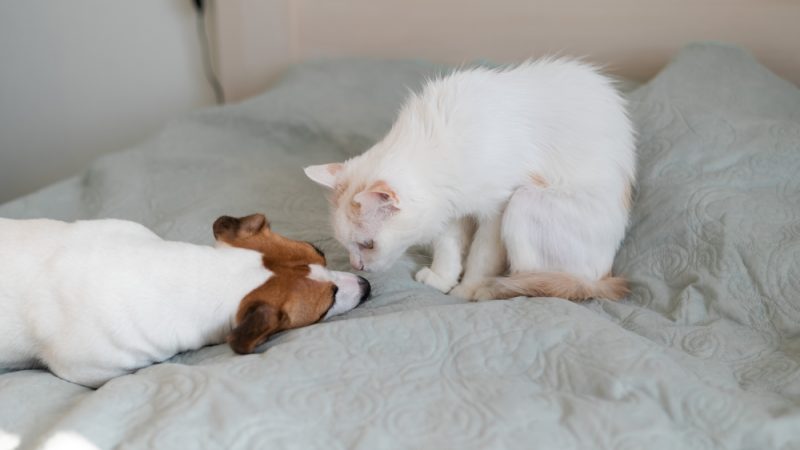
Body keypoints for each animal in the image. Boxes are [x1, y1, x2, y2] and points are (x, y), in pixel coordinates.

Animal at [304, 58, 636, 300]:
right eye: (347, 246)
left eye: (368, 244)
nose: (357, 267)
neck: (437, 144)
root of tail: (602, 276)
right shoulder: (451, 209)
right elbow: (448, 248)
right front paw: (441, 280)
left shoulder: (496, 210)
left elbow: (480, 256)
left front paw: (465, 290)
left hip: (524, 201)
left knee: (535, 282)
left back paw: (490, 289)